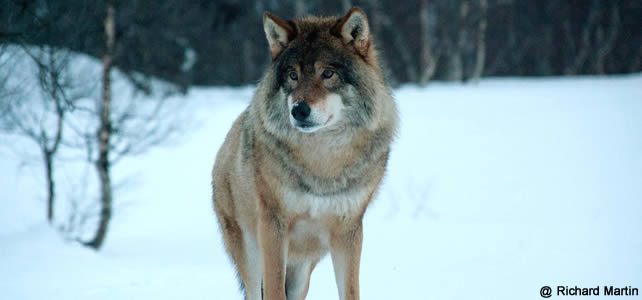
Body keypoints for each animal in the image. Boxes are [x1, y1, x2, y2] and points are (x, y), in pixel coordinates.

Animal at [211, 7, 396, 300]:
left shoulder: (349, 232)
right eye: (293, 75)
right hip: (251, 256)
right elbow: (274, 291)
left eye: (328, 73)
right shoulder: (273, 226)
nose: (298, 110)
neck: (322, 161)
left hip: (302, 271)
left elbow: (350, 291)